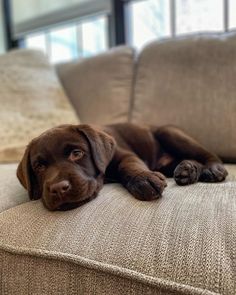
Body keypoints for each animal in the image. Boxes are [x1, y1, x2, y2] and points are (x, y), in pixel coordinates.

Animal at [16, 123, 227, 212]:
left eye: (77, 153)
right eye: (39, 166)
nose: (59, 188)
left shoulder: (124, 154)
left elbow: (128, 165)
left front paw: (144, 179)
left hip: (168, 132)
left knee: (207, 155)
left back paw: (213, 169)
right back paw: (188, 169)